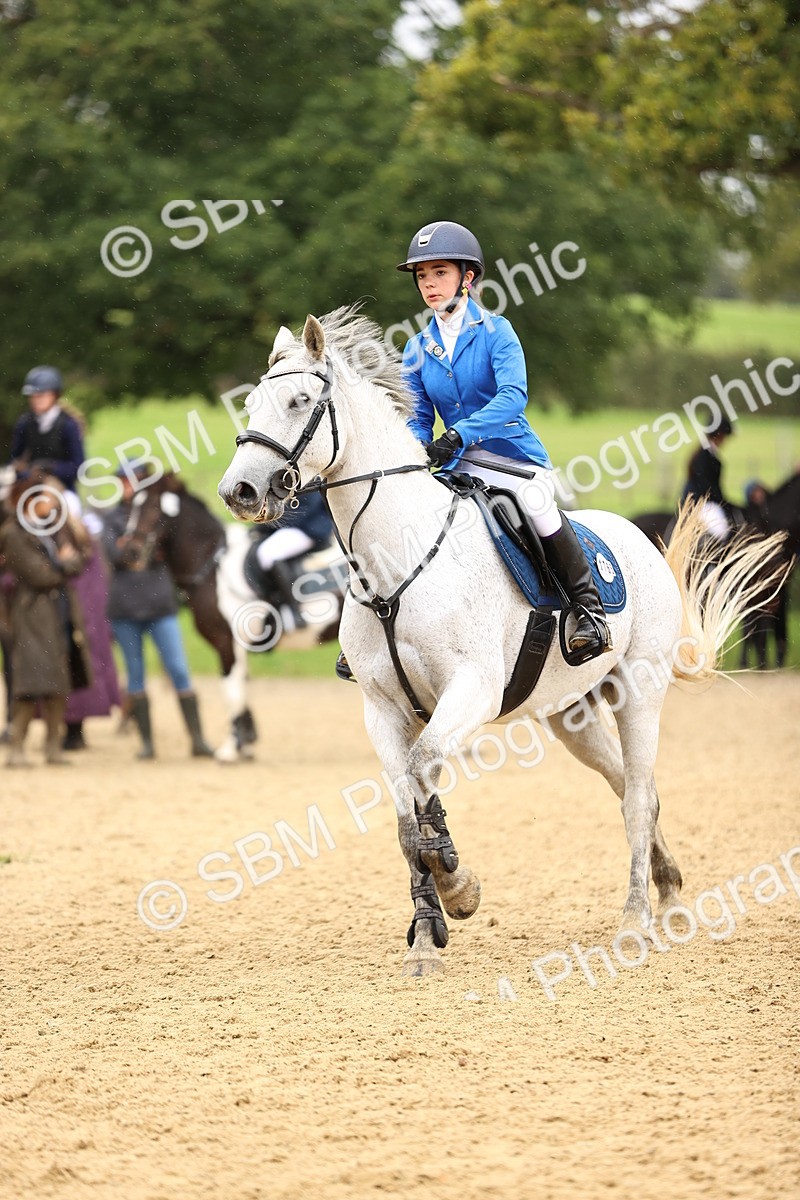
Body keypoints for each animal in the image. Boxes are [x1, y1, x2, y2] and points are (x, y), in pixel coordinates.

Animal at [117, 472, 345, 762]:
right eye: (131, 506)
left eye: (152, 509)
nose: (128, 552)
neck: (211, 565)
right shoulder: (236, 647)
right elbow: (243, 689)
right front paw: (246, 744)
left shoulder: (226, 643)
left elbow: (232, 692)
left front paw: (230, 749)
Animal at [218, 306, 786, 977]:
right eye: (251, 403)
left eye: (300, 401)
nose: (239, 492)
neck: (397, 559)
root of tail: (636, 537)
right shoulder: (383, 708)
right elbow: (408, 819)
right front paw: (428, 934)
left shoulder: (472, 691)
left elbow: (422, 775)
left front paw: (457, 890)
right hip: (572, 715)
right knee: (628, 786)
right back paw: (668, 893)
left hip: (638, 694)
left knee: (638, 798)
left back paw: (635, 922)